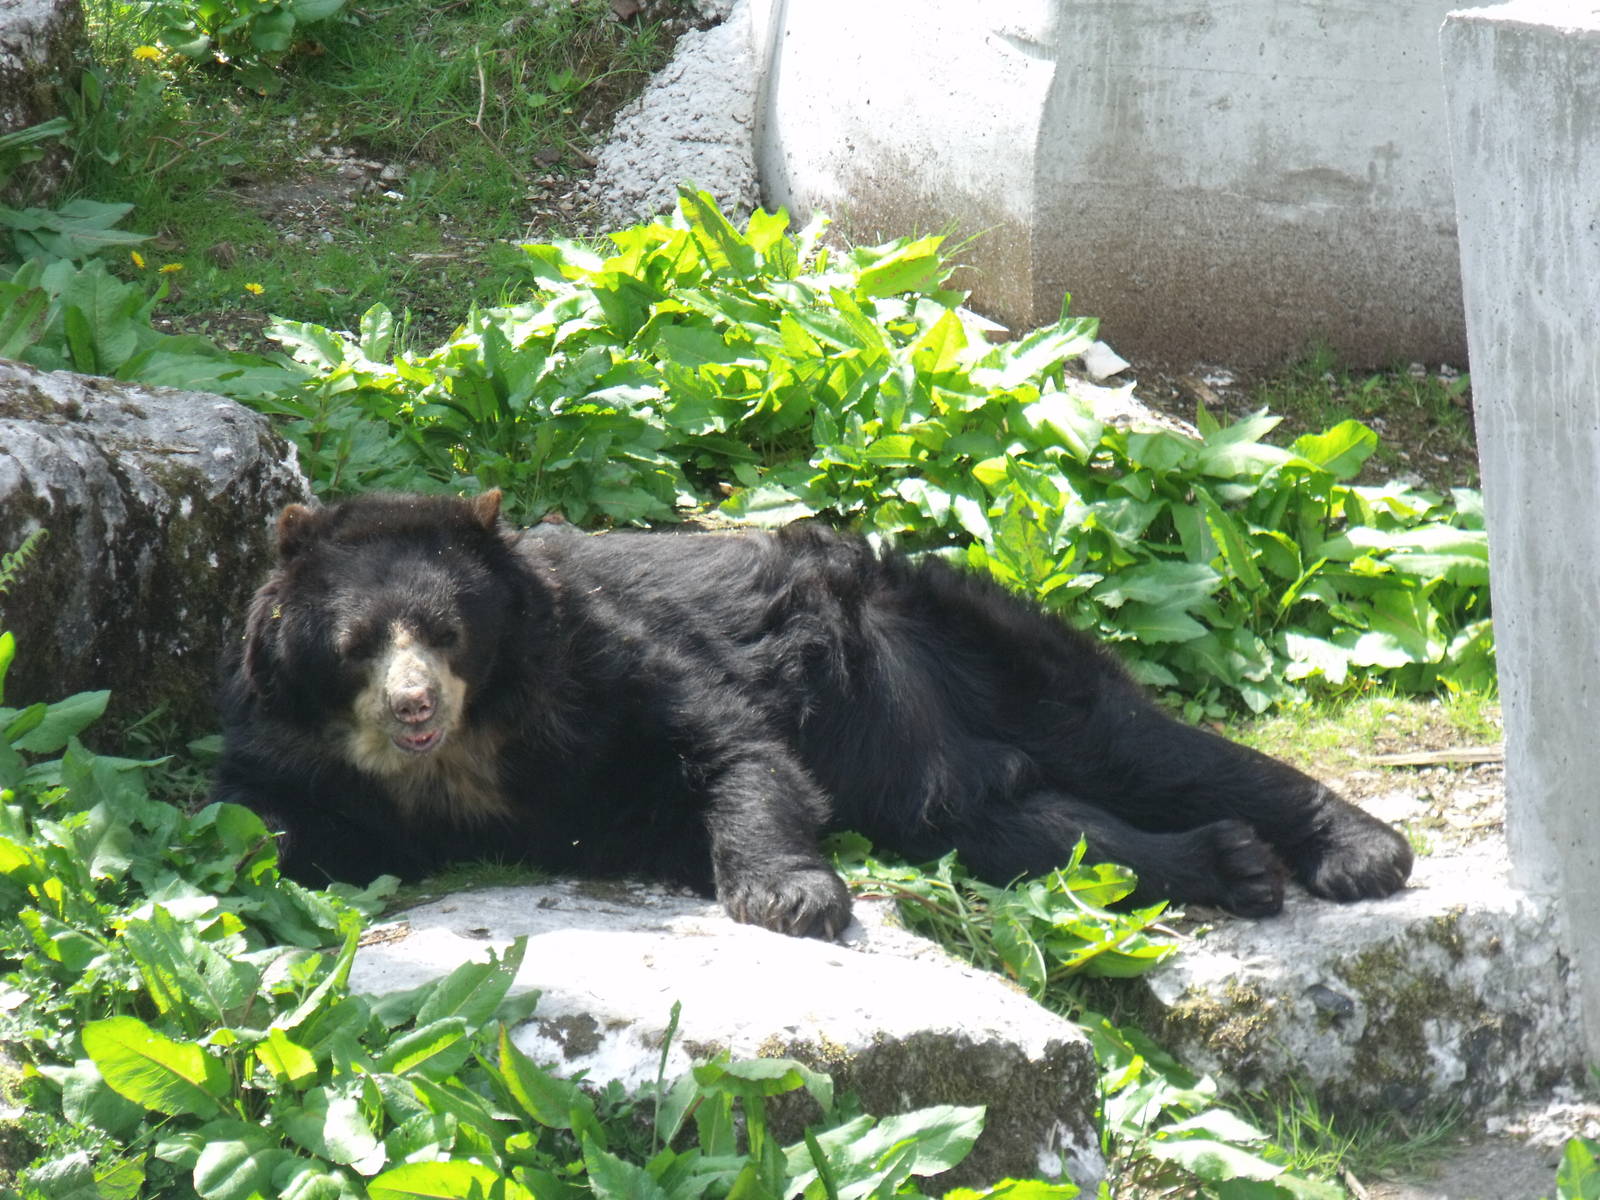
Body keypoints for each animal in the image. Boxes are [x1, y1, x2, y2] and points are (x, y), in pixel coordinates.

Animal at [213, 489, 1413, 938]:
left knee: (1140, 748)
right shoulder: (296, 748)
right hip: (937, 780)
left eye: (447, 631)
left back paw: (1357, 852)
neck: (464, 752)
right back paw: (1226, 865)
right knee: (1038, 830)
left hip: (963, 647)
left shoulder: (597, 667)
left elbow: (723, 743)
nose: (414, 705)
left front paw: (791, 896)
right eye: (359, 644)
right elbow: (276, 822)